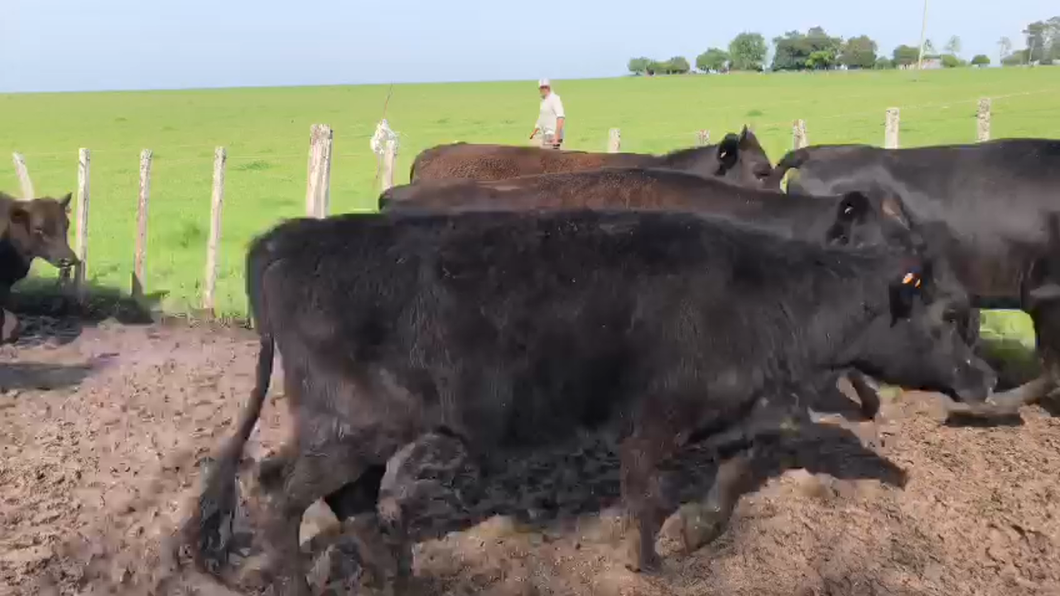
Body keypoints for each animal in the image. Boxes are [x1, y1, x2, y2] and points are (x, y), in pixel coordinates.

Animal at [188, 206, 992, 589]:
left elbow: (737, 469)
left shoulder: (739, 408)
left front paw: (698, 531)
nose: (985, 380)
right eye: (953, 314)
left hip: (355, 430)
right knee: (278, 494)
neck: (768, 299)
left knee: (337, 495)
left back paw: (398, 579)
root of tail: (288, 239)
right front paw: (653, 564)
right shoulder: (655, 420)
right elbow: (643, 494)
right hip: (354, 424)